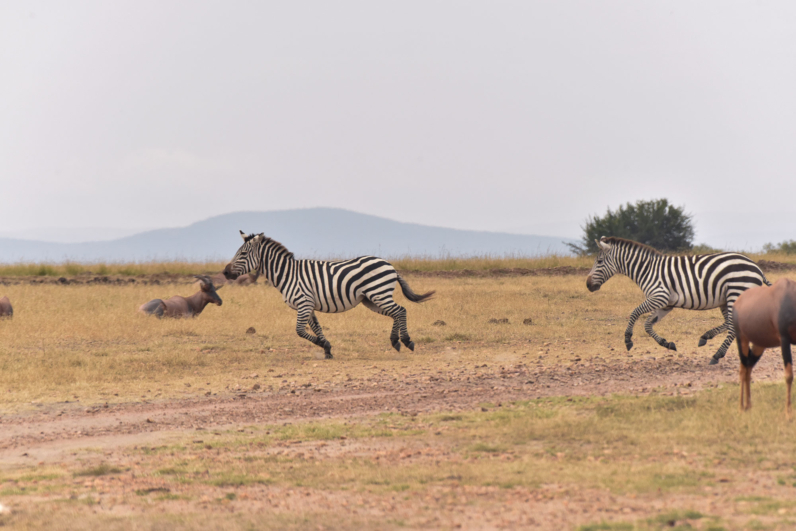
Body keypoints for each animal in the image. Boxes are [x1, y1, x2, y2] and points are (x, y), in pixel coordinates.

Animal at [224, 231, 436, 360]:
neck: (288, 274)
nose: (225, 273)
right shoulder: (309, 305)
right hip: (371, 299)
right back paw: (395, 342)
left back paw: (406, 341)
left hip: (379, 293)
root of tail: (389, 265)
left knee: (401, 310)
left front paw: (323, 344)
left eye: (243, 254)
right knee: (396, 312)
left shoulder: (304, 303)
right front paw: (327, 348)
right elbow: (316, 327)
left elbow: (299, 330)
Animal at [584, 238, 772, 366]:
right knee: (730, 322)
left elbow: (635, 312)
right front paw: (667, 344)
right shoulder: (665, 304)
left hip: (735, 293)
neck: (647, 270)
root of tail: (756, 267)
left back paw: (716, 355)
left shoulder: (659, 296)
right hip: (726, 299)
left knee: (732, 326)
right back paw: (706, 337)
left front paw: (628, 340)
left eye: (599, 262)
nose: (588, 285)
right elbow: (647, 324)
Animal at [732, 276, 796, 418]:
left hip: (759, 345)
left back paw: (748, 406)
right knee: (742, 369)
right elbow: (789, 375)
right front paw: (788, 413)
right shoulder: (784, 340)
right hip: (741, 339)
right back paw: (740, 408)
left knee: (748, 368)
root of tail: (737, 303)